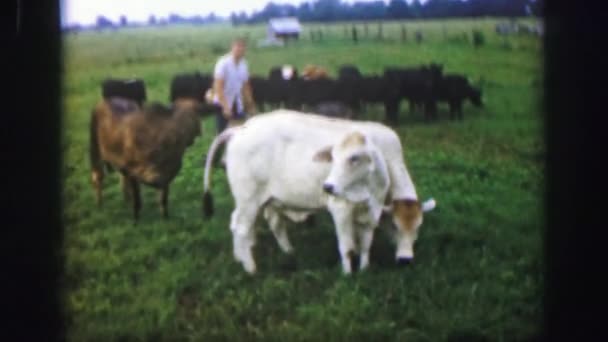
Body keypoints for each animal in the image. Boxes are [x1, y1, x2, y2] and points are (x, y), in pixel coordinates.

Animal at [91, 96, 220, 222]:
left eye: (197, 114)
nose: (199, 132)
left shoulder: (167, 174)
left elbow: (163, 200)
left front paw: (166, 219)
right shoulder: (131, 170)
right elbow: (137, 201)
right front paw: (135, 221)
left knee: (122, 179)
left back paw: (126, 200)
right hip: (95, 149)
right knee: (98, 176)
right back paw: (99, 204)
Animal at [202, 110, 434, 276]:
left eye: (418, 227)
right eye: (395, 226)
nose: (405, 260)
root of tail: (241, 129)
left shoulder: (372, 210)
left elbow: (365, 243)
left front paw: (364, 268)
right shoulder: (340, 208)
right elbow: (347, 246)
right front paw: (348, 273)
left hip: (260, 201)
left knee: (254, 225)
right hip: (248, 200)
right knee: (241, 227)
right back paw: (250, 268)